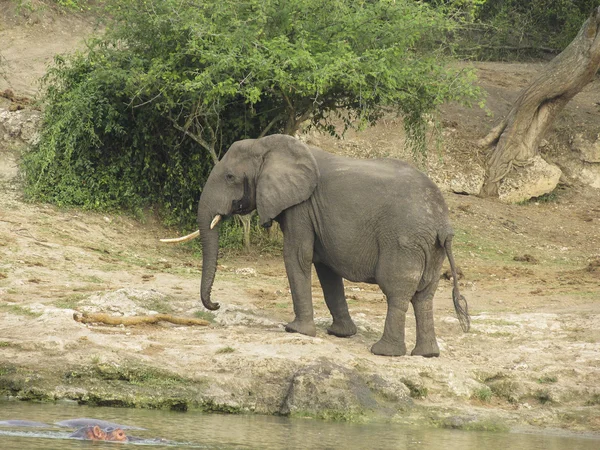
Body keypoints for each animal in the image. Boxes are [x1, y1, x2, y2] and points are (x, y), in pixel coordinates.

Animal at [163, 134, 468, 356]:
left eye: (229, 177)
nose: (215, 304)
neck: (269, 145)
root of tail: (443, 222)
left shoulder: (301, 207)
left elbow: (296, 256)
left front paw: (295, 331)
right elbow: (326, 268)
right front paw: (340, 334)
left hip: (404, 241)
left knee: (397, 292)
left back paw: (383, 352)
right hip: (430, 247)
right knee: (424, 297)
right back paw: (427, 354)